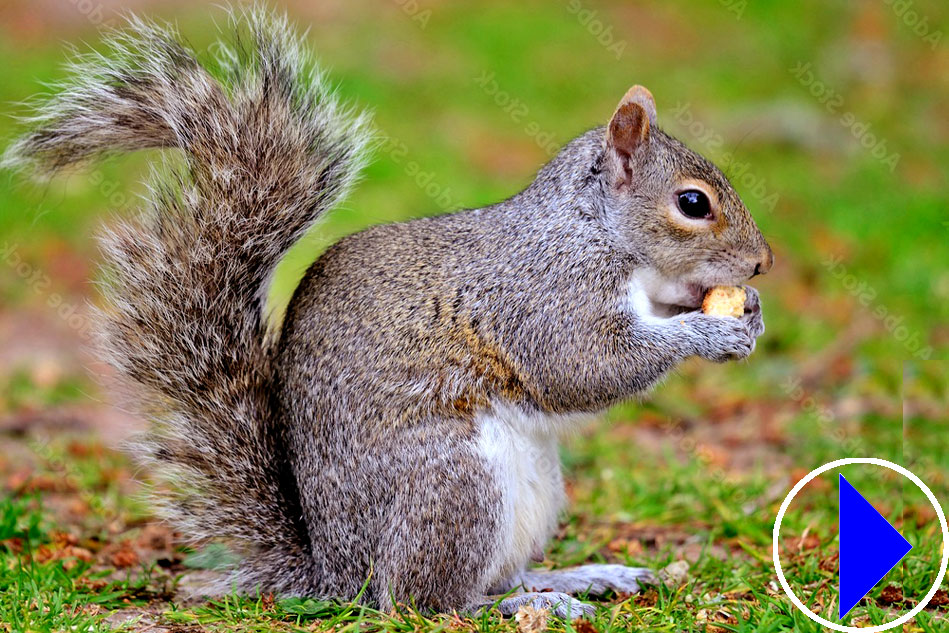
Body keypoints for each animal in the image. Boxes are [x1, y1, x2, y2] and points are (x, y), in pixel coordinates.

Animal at [5, 4, 772, 616]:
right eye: (693, 203)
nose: (762, 262)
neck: (593, 231)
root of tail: (337, 573)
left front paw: (746, 312)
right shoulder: (544, 294)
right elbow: (583, 368)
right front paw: (705, 329)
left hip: (528, 490)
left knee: (480, 578)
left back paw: (572, 576)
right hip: (452, 484)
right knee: (426, 600)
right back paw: (524, 603)